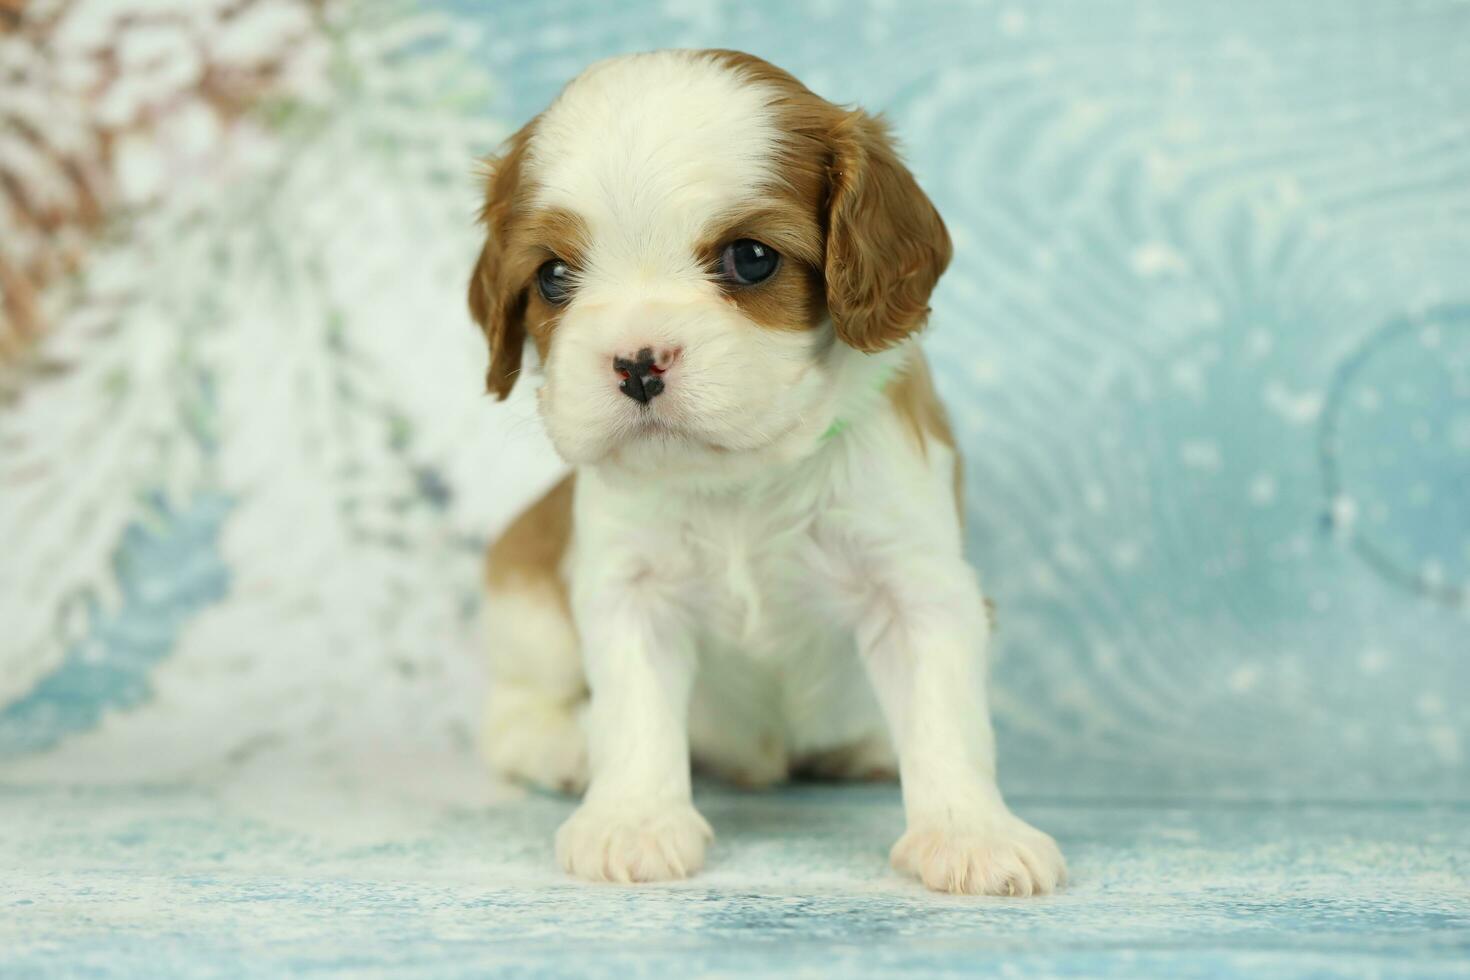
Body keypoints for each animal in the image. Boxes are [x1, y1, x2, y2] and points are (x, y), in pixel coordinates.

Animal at [476, 51, 1064, 899]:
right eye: (554, 276)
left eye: (751, 258)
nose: (636, 362)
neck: (744, 474)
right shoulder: (628, 587)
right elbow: (633, 711)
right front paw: (633, 820)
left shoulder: (914, 584)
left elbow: (944, 716)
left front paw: (971, 833)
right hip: (524, 591)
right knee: (510, 714)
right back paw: (561, 743)